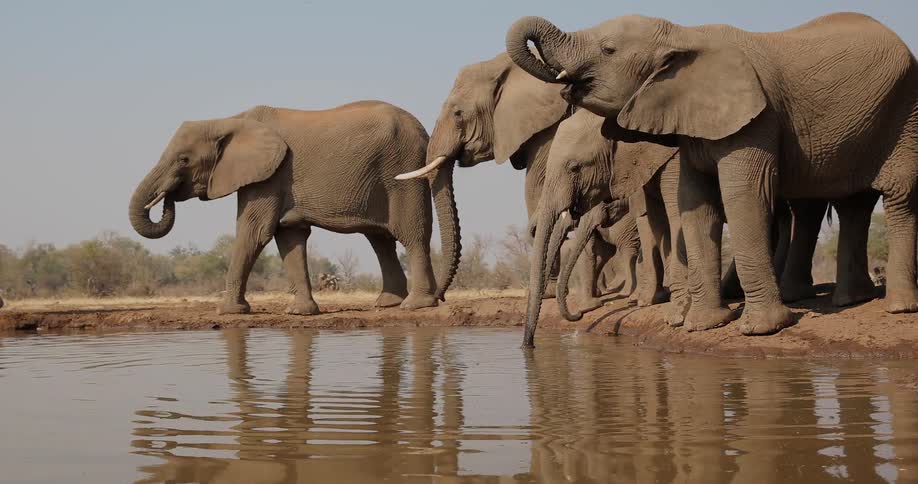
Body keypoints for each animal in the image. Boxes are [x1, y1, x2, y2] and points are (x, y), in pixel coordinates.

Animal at [129, 102, 460, 315]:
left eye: (183, 160)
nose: (166, 197)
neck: (228, 120)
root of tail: (424, 130)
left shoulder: (269, 177)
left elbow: (254, 233)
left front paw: (229, 312)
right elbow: (289, 237)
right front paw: (300, 313)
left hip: (402, 169)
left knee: (411, 234)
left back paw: (415, 306)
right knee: (380, 240)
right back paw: (388, 304)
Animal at [507, 12, 918, 338]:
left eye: (608, 50)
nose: (530, 344)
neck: (683, 35)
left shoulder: (755, 120)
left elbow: (741, 196)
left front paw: (760, 329)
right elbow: (695, 207)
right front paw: (702, 324)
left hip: (905, 114)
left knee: (898, 198)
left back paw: (897, 306)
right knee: (852, 204)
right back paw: (850, 299)